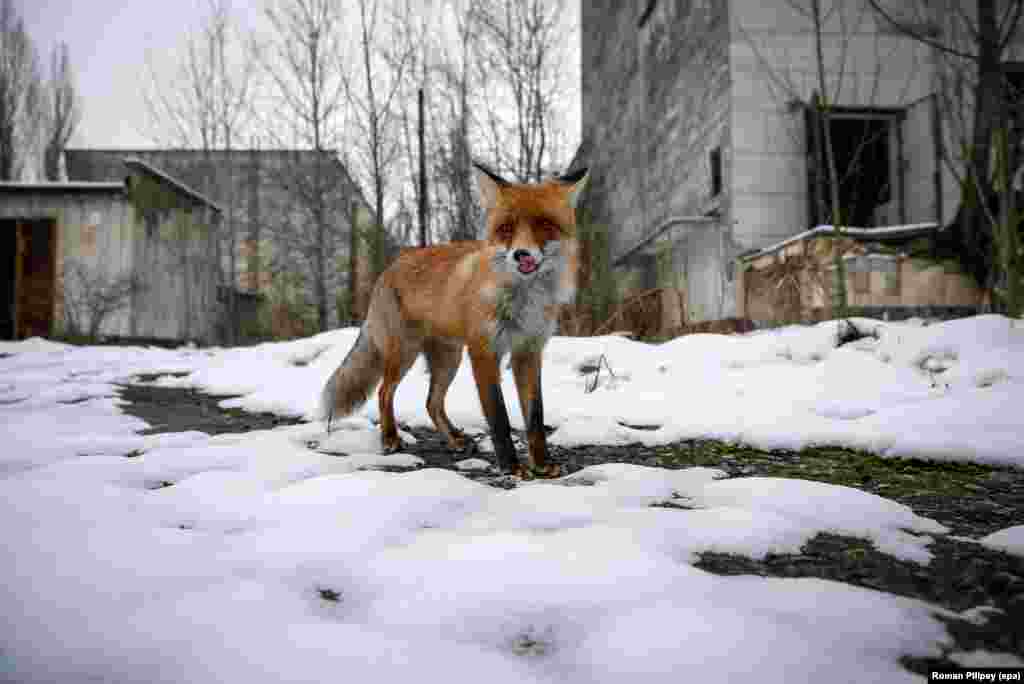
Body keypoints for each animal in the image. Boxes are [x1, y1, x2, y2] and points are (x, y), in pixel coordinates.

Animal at [319, 162, 593, 479]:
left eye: (544, 225)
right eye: (506, 229)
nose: (520, 254)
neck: (525, 301)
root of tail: (391, 266)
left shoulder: (528, 351)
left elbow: (535, 417)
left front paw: (542, 464)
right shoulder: (484, 352)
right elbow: (498, 417)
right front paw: (512, 467)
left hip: (449, 359)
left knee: (432, 402)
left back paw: (454, 440)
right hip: (405, 353)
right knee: (384, 392)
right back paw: (390, 438)